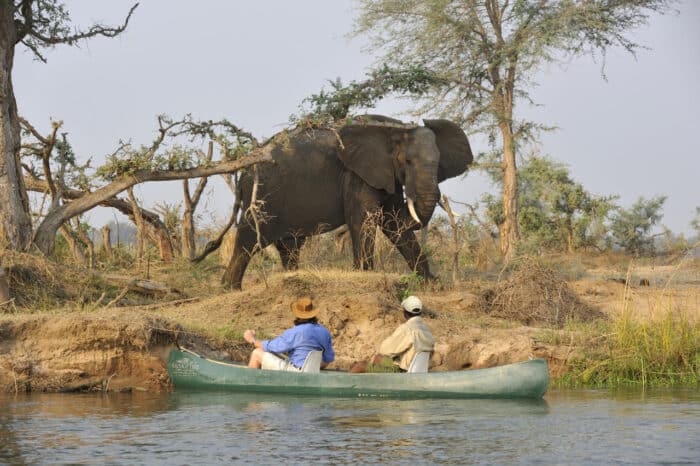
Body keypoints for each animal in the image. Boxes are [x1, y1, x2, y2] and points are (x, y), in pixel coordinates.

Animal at [223, 115, 476, 290]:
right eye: (407, 161)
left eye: (439, 162)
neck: (395, 129)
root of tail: (244, 172)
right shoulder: (357, 174)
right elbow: (365, 219)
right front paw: (365, 274)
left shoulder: (386, 174)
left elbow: (392, 223)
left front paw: (432, 284)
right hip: (263, 195)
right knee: (248, 238)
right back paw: (231, 289)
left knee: (290, 246)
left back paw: (290, 278)